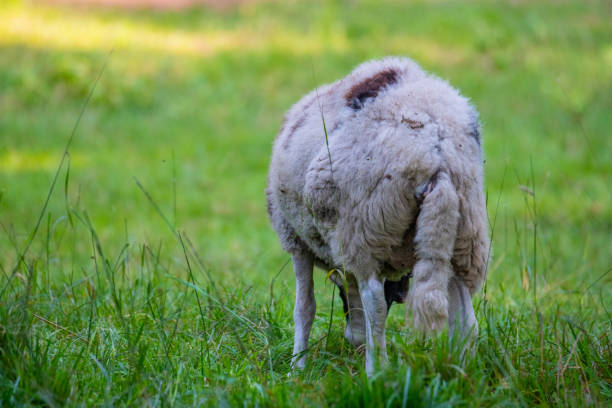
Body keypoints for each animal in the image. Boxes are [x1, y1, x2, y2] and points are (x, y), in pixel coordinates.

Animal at [266, 57, 490, 376]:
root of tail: (437, 155)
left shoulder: (297, 242)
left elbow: (305, 307)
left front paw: (297, 366)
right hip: (464, 233)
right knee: (467, 319)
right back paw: (462, 373)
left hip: (364, 227)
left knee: (375, 302)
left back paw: (376, 371)